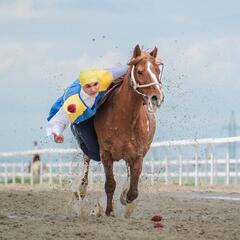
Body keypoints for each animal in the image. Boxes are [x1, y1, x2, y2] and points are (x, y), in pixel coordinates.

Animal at [93, 44, 164, 216]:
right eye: (140, 71)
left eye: (157, 70)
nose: (156, 97)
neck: (123, 119)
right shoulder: (105, 153)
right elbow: (110, 184)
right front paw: (109, 210)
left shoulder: (137, 156)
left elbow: (133, 191)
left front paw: (125, 197)